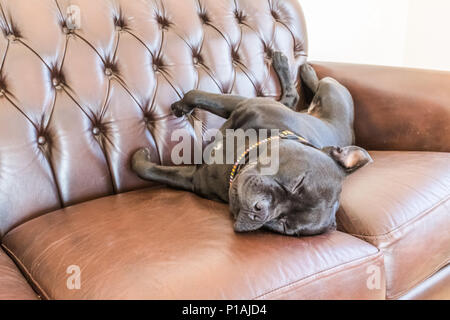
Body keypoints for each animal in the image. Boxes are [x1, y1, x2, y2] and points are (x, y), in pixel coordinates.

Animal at [131, 52, 372, 236]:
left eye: (284, 225)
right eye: (298, 182)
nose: (260, 211)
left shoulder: (192, 178)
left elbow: (151, 171)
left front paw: (140, 158)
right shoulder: (242, 104)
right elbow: (195, 93)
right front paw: (181, 106)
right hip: (332, 95)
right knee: (312, 86)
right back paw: (302, 69)